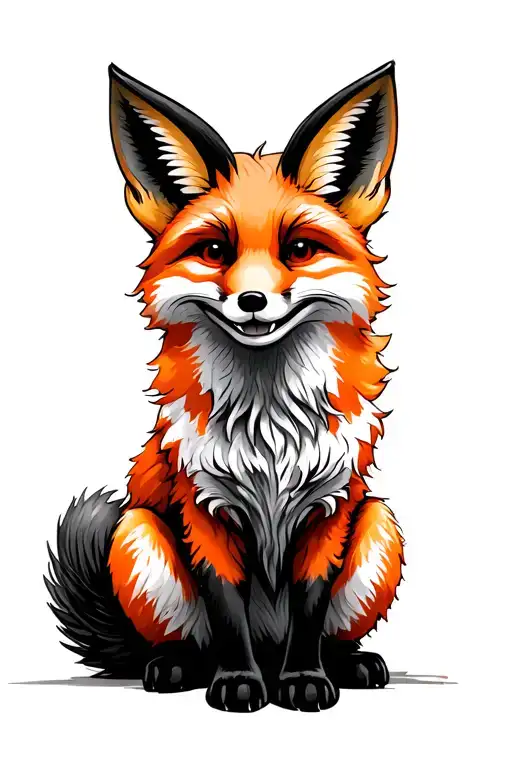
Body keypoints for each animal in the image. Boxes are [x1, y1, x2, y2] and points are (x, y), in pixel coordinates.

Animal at [46, 61, 404, 712]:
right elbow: (226, 606)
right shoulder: (204, 506)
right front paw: (239, 683)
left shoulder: (330, 507)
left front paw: (304, 680)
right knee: (190, 640)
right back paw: (178, 666)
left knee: (328, 630)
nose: (253, 300)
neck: (269, 430)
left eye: (299, 249)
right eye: (215, 250)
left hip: (380, 527)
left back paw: (347, 663)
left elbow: (310, 607)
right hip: (137, 535)